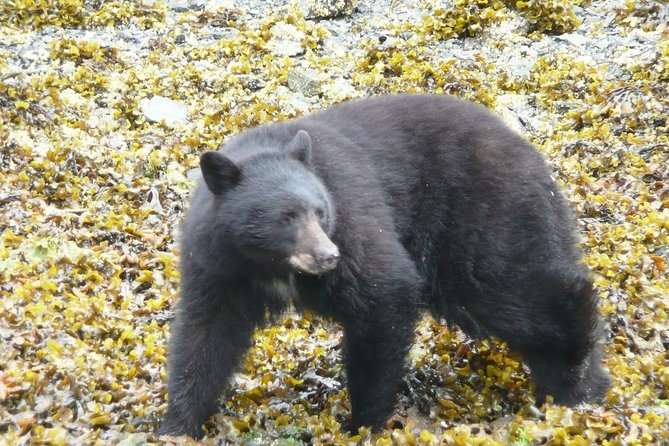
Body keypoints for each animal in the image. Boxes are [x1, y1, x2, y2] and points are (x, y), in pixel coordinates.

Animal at [158, 94, 610, 438]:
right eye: (285, 217)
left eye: (320, 211)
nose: (328, 256)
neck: (268, 266)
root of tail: (535, 158)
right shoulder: (219, 266)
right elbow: (206, 334)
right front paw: (178, 424)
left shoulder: (353, 214)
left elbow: (383, 291)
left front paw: (362, 423)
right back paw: (575, 388)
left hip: (478, 221)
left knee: (513, 291)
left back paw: (578, 367)